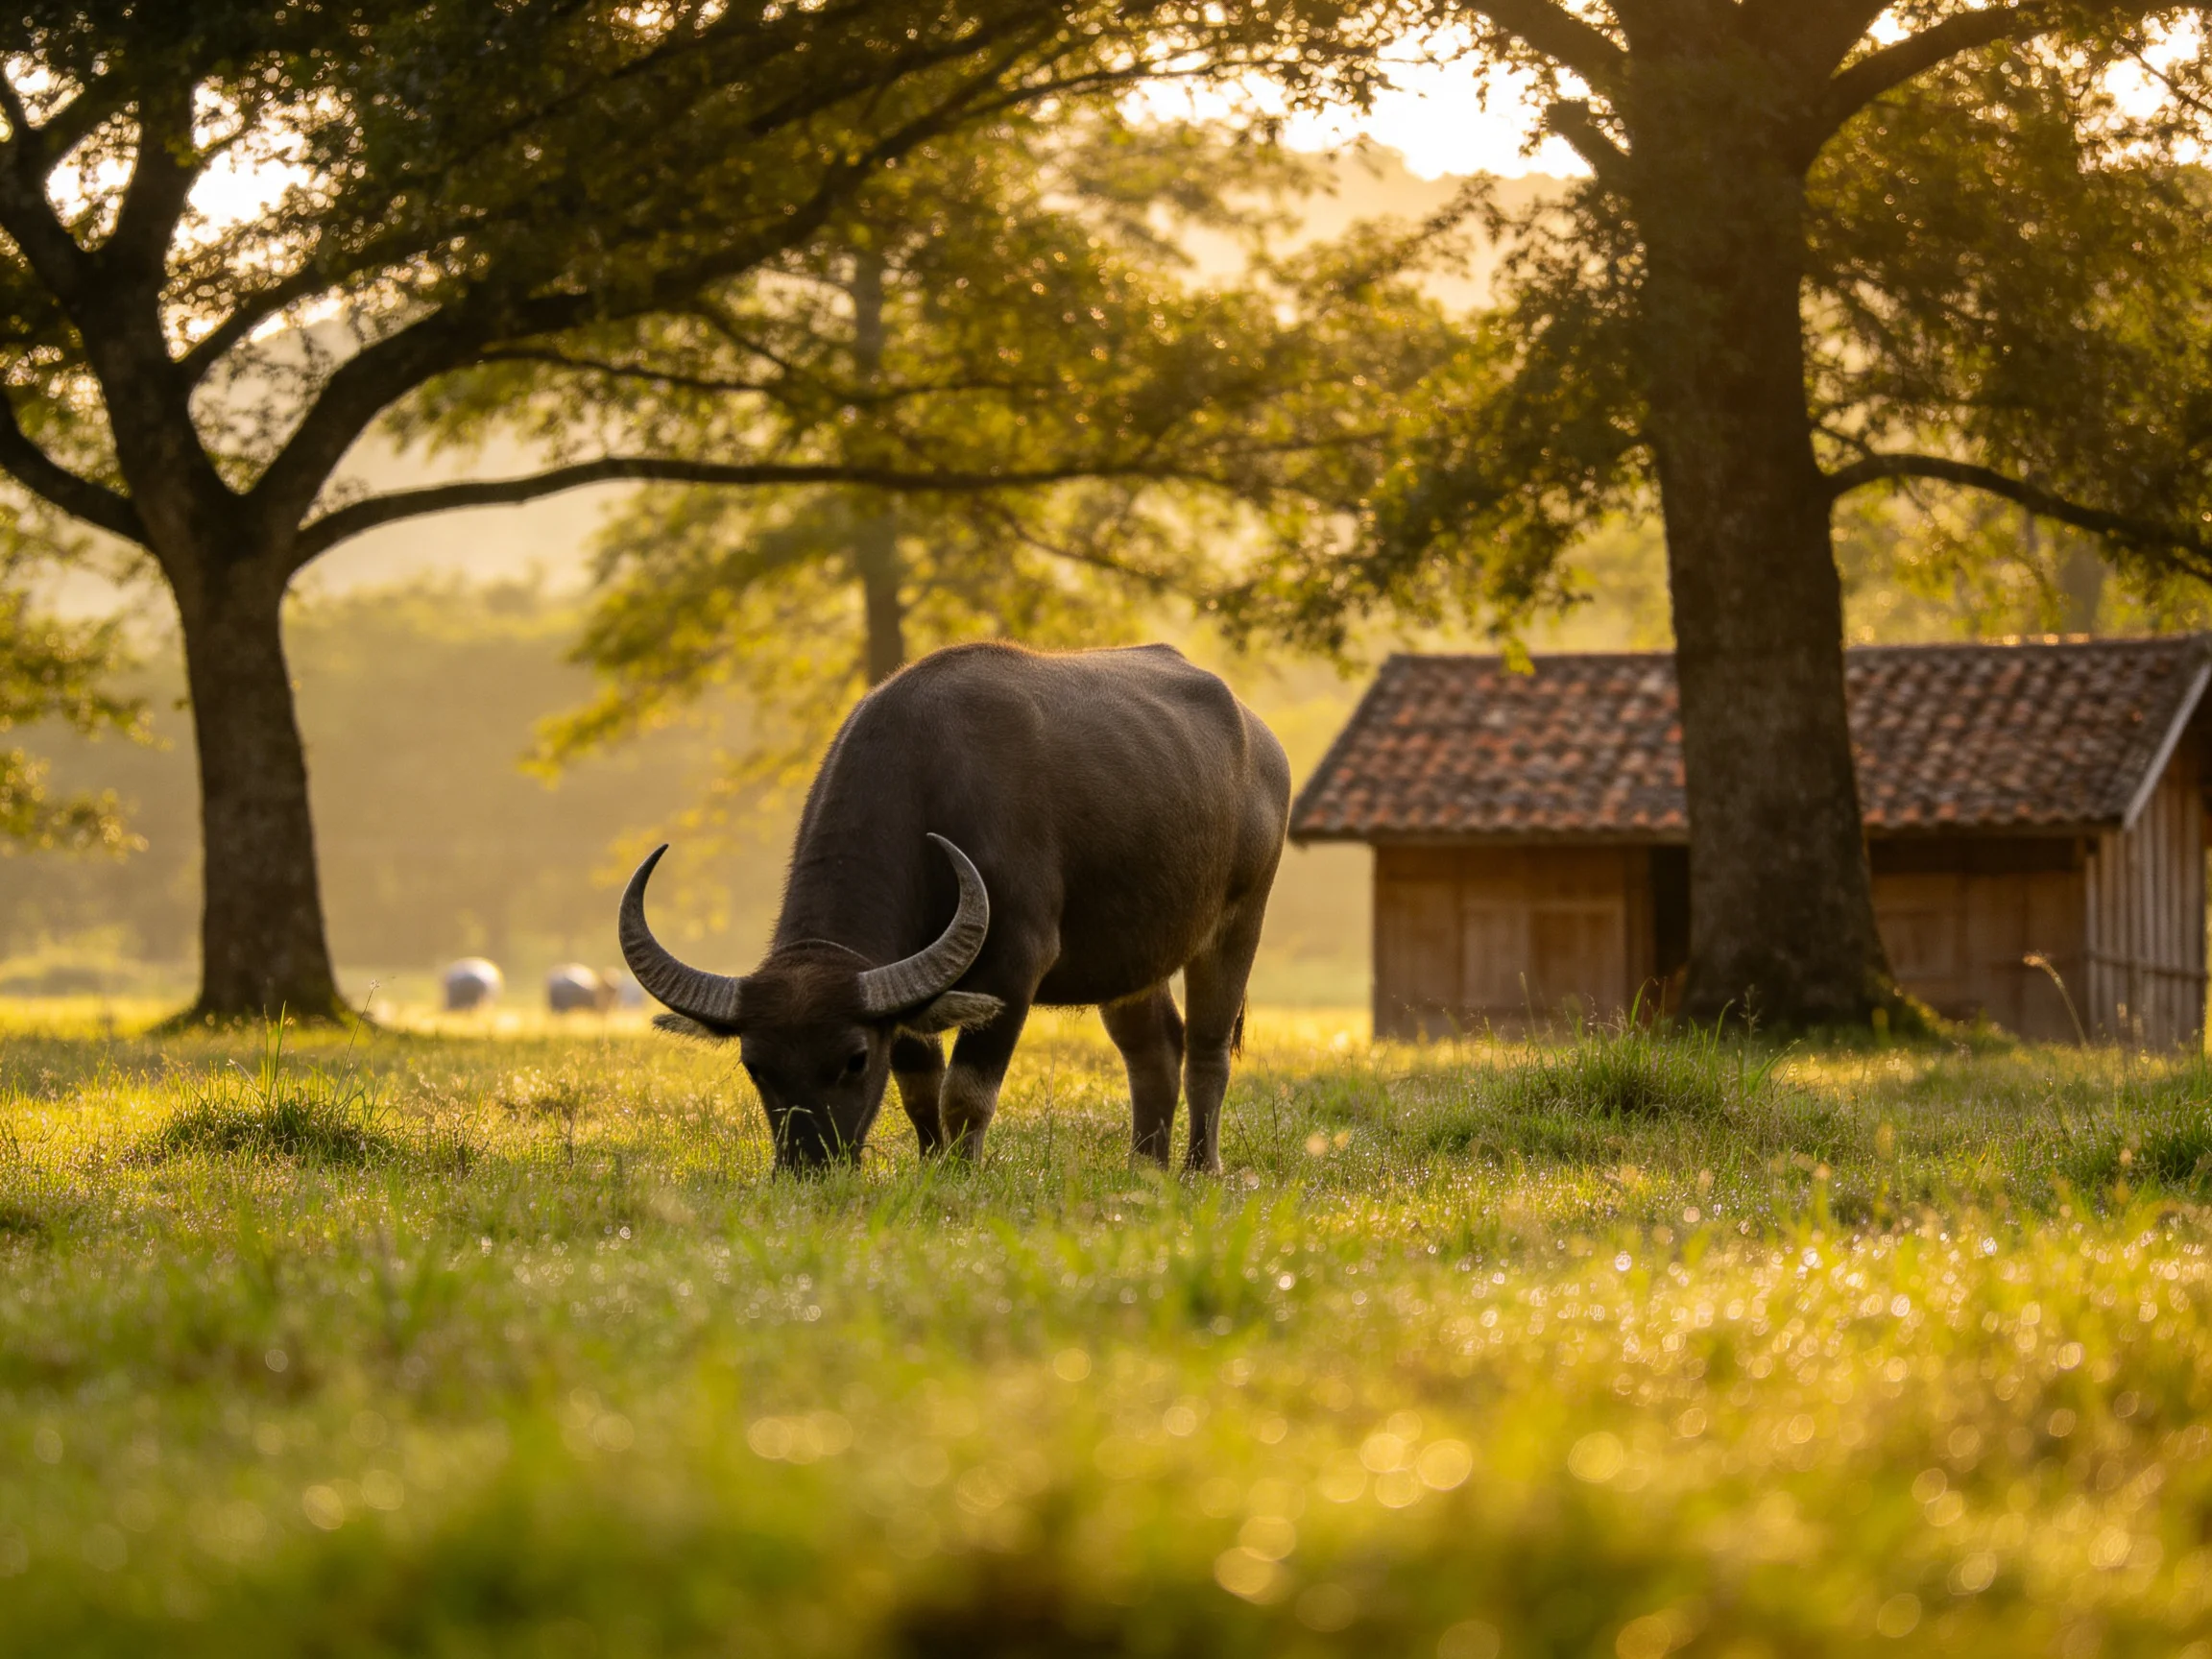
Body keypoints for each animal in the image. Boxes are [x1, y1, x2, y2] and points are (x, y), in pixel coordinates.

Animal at [618, 641, 1290, 1172]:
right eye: (755, 1066)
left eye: (855, 1060)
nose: (809, 1167)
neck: (929, 780)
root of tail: (1262, 743)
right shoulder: (904, 988)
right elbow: (921, 1090)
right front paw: (931, 1166)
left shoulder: (1016, 965)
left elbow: (965, 1093)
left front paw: (962, 1176)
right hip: (1130, 959)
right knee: (1154, 1051)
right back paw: (1144, 1170)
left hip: (1240, 920)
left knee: (1207, 1050)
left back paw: (1199, 1170)